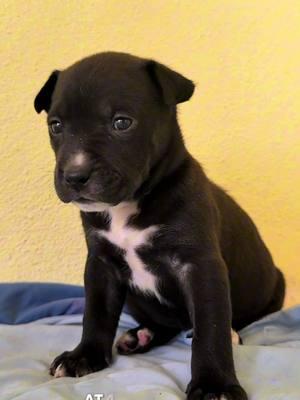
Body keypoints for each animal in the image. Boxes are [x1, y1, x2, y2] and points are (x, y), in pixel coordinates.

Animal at [34, 53, 284, 400]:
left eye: (122, 122)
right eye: (55, 126)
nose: (74, 175)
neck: (129, 205)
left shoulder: (199, 265)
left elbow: (211, 328)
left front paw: (215, 384)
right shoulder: (101, 265)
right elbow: (95, 313)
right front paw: (83, 356)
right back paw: (141, 336)